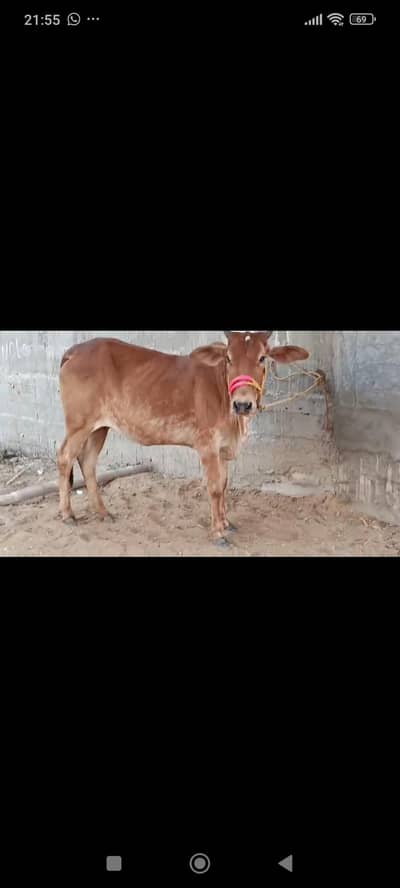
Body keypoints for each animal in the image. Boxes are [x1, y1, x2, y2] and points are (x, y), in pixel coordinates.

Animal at [57, 332, 309, 544]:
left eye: (262, 358)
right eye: (228, 358)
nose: (243, 404)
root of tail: (76, 349)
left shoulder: (222, 449)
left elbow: (224, 485)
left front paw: (226, 523)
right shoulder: (207, 445)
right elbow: (214, 487)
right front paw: (218, 533)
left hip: (100, 427)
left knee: (88, 462)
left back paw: (103, 512)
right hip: (79, 423)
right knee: (65, 457)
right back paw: (68, 514)